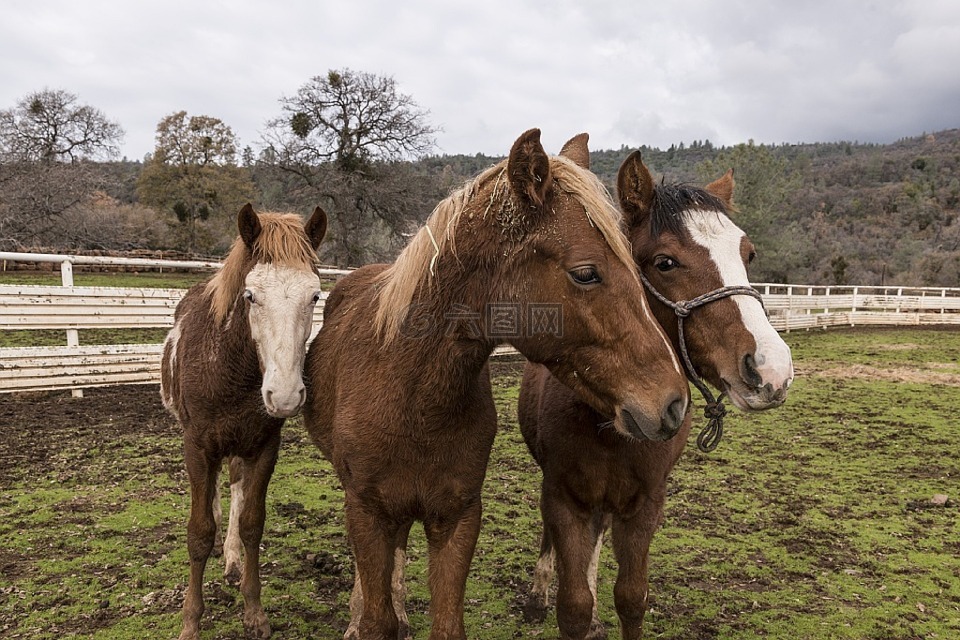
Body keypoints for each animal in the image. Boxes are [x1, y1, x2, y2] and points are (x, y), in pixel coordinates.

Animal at [163, 205, 328, 640]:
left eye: (315, 295)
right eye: (251, 296)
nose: (285, 395)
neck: (230, 369)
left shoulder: (263, 447)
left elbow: (253, 523)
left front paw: (254, 612)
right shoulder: (198, 447)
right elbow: (199, 531)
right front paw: (191, 621)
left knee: (235, 492)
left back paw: (233, 561)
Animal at [304, 130, 688, 640]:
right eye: (586, 273)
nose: (673, 401)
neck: (412, 398)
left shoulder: (458, 518)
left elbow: (445, 623)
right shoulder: (367, 512)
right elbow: (376, 618)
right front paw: (368, 615)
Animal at [516, 155, 796, 640]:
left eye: (748, 255)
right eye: (665, 262)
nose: (771, 370)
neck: (610, 419)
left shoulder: (645, 503)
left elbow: (630, 599)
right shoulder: (564, 497)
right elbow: (572, 605)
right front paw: (560, 604)